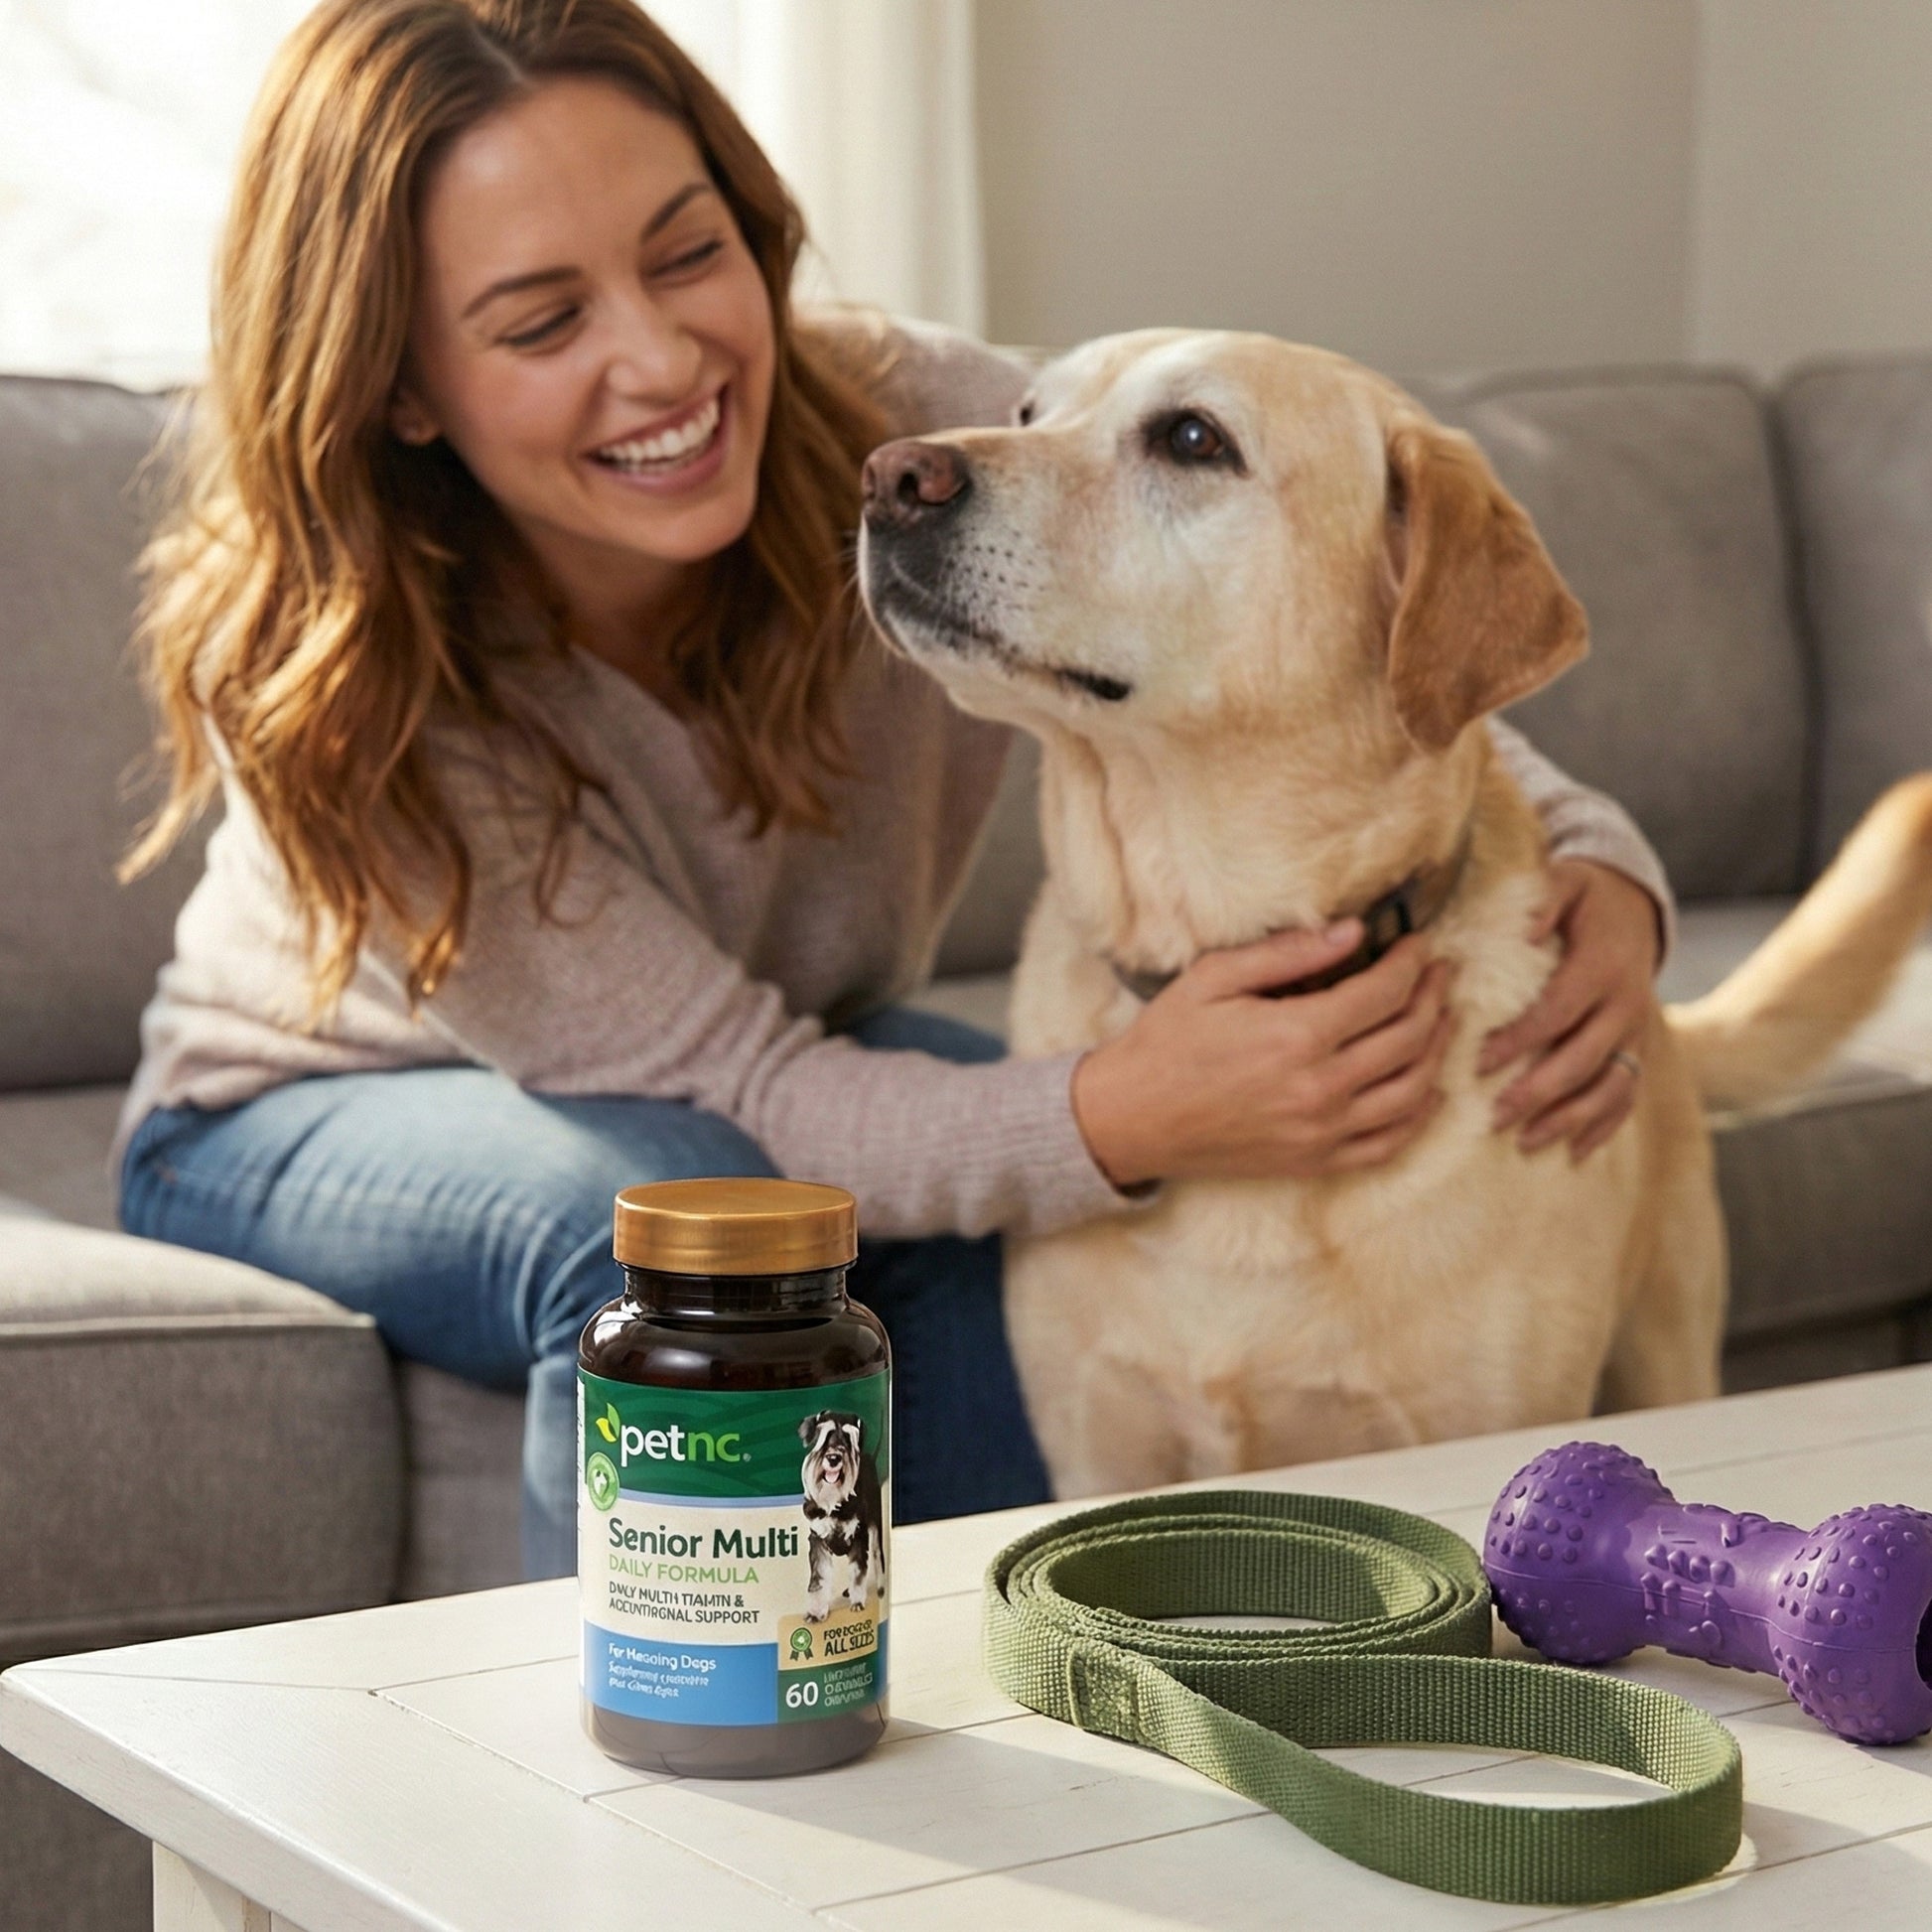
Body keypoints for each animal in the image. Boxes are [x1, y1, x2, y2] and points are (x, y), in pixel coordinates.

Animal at [799, 1410, 885, 1618]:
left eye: (848, 1436)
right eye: (824, 1433)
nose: (833, 1458)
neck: (833, 1502)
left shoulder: (859, 1537)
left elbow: (857, 1574)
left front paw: (857, 1603)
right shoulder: (817, 1539)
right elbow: (818, 1579)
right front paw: (816, 1613)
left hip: (876, 1525)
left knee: (878, 1555)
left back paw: (880, 1590)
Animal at [858, 328, 1932, 1499]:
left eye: (1191, 438)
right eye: (1025, 411)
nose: (888, 475)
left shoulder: (1482, 1416)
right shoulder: (1099, 1444)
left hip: (1671, 1347)